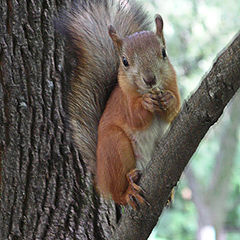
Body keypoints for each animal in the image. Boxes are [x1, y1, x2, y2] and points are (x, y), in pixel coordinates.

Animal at [95, 16, 180, 208]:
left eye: (163, 52)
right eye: (125, 61)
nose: (150, 79)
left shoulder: (172, 82)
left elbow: (174, 109)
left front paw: (168, 100)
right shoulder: (124, 102)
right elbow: (135, 117)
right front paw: (146, 103)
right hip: (114, 147)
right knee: (117, 193)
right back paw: (128, 191)